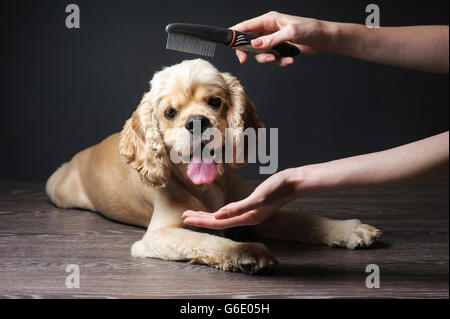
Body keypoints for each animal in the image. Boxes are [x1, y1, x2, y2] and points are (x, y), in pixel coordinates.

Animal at [47, 59, 382, 276]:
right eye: (170, 113)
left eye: (215, 102)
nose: (197, 121)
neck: (208, 187)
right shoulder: (159, 235)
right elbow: (208, 239)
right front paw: (246, 252)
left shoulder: (251, 208)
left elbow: (302, 218)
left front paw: (347, 229)